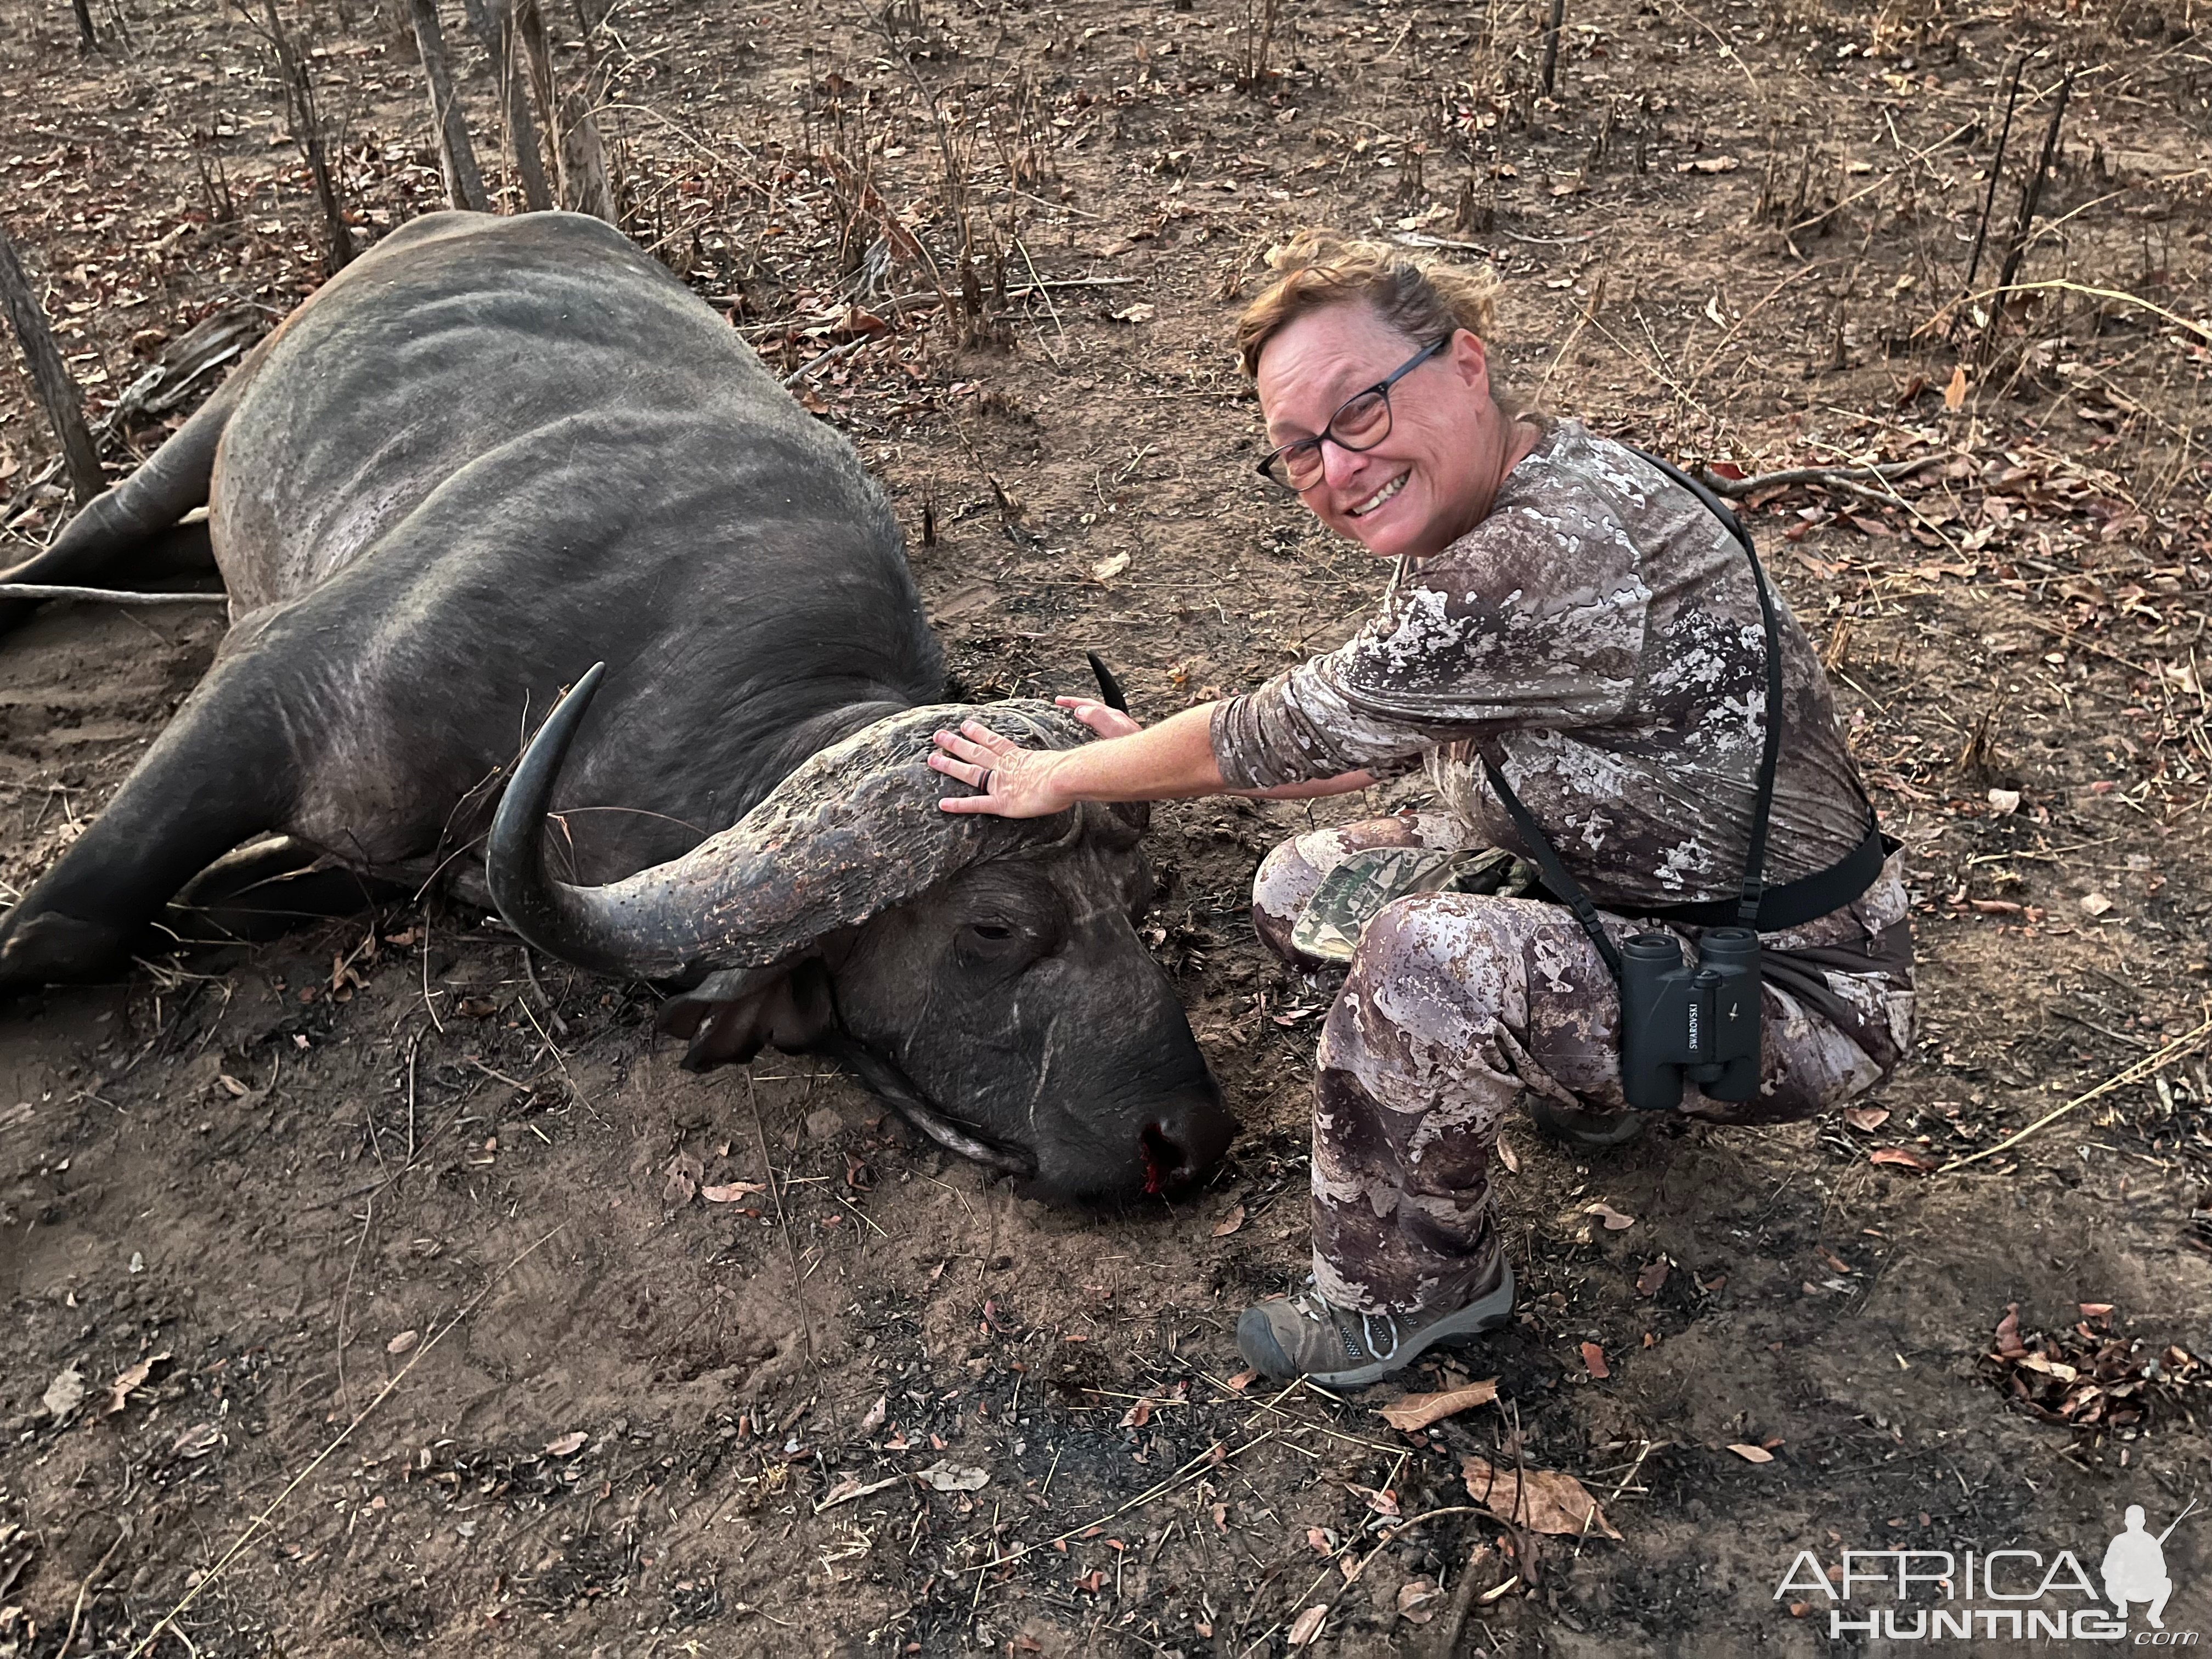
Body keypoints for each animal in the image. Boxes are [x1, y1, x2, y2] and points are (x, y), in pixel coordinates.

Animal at [0, 211, 1238, 1212]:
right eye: (993, 928)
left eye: (1142, 900)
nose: (1186, 1139)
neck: (650, 672)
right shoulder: (271, 693)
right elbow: (63, 925)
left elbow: (201, 907)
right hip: (214, 417)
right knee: (103, 524)